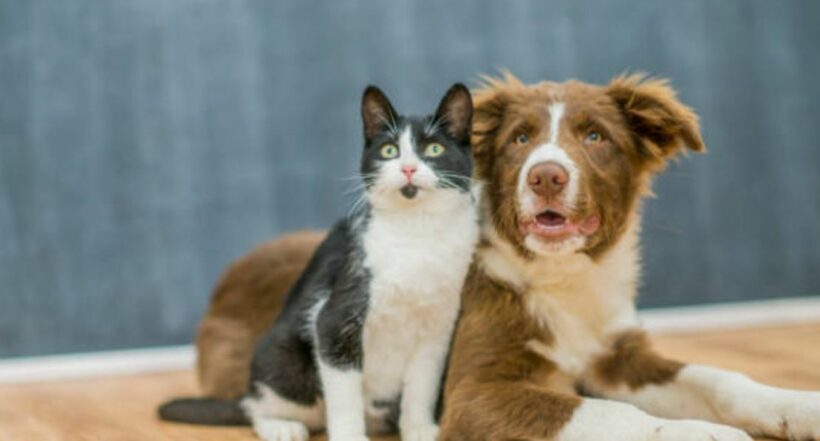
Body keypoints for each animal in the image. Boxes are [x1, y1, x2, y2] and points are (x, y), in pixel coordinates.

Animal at [159, 83, 480, 440]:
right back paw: (280, 426)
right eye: (389, 151)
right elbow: (343, 391)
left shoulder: (438, 328)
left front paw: (420, 429)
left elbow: (422, 386)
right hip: (286, 361)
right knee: (256, 407)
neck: (417, 233)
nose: (408, 168)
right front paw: (350, 436)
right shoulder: (335, 318)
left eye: (434, 149)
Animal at [192, 74, 820, 438]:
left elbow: (719, 377)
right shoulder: (475, 390)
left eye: (595, 137)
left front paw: (799, 406)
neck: (559, 277)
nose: (546, 176)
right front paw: (697, 434)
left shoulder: (616, 356)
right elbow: (600, 412)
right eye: (520, 138)